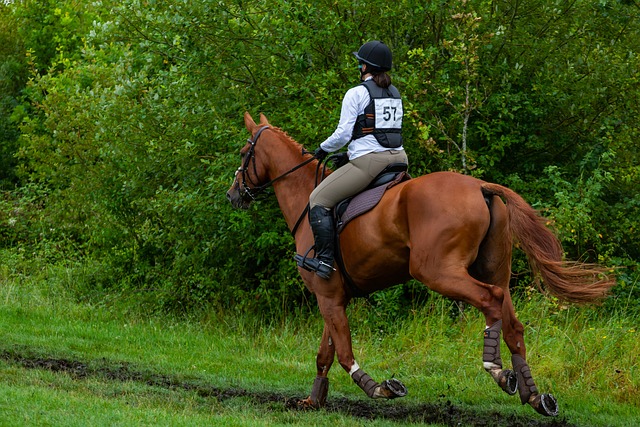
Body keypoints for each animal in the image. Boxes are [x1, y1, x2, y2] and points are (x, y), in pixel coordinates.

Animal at [225, 113, 616, 418]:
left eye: (245, 153)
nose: (233, 195)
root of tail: (480, 186)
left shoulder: (328, 297)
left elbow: (344, 352)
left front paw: (380, 388)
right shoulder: (332, 296)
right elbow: (326, 351)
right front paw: (313, 400)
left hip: (439, 272)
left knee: (489, 301)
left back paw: (497, 371)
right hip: (494, 271)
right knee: (513, 324)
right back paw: (533, 395)